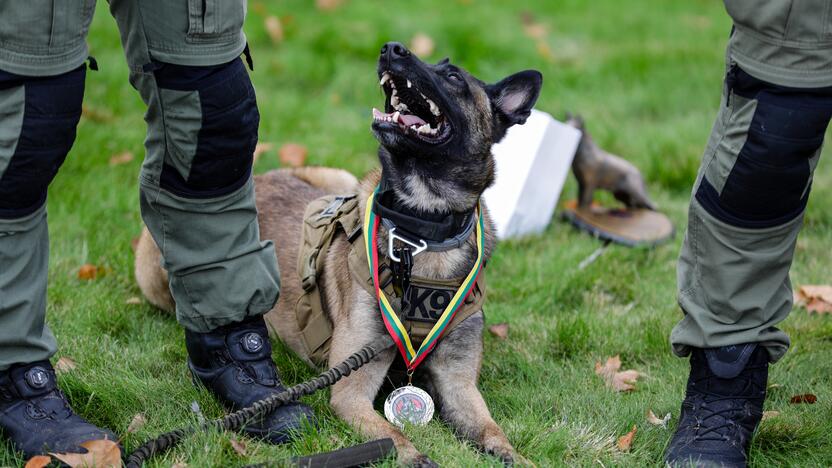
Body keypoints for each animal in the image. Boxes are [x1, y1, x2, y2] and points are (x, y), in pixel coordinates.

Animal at [134, 42, 544, 466]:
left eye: (452, 77)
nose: (391, 49)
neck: (424, 231)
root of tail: (255, 179)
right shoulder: (351, 391)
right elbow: (393, 435)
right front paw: (415, 456)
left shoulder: (458, 384)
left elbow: (494, 432)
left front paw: (518, 456)